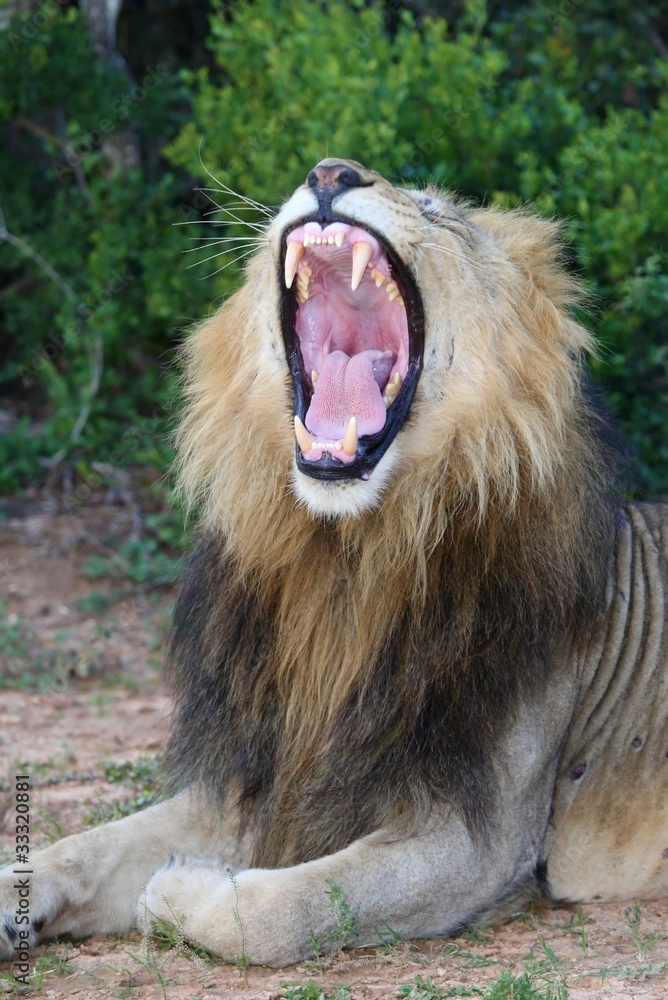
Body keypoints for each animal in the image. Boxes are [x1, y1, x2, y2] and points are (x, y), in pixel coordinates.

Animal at [0, 159, 666, 968]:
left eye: (434, 208)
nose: (330, 171)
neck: (346, 559)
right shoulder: (271, 770)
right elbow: (93, 843)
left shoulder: (483, 841)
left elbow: (290, 907)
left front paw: (180, 889)